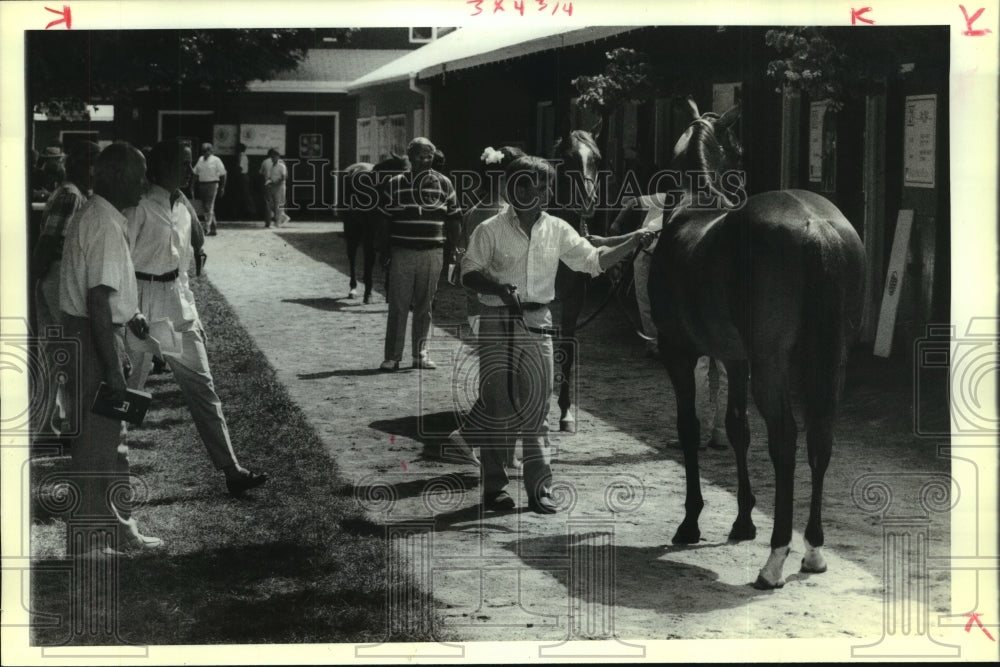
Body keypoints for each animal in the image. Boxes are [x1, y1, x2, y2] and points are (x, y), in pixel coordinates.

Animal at [342, 154, 408, 302]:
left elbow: (391, 256)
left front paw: (389, 293)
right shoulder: (370, 229)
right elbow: (370, 257)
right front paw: (368, 293)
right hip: (352, 226)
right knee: (352, 254)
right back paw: (353, 288)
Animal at [648, 99, 868, 588]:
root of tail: (817, 225)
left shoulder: (678, 355)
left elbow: (690, 428)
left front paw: (690, 522)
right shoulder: (736, 360)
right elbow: (737, 428)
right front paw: (743, 520)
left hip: (773, 367)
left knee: (784, 439)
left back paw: (775, 559)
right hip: (832, 362)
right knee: (820, 437)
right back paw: (813, 550)